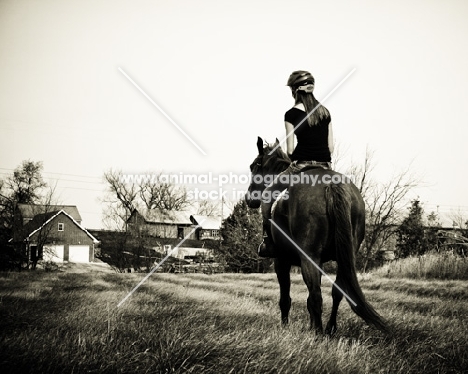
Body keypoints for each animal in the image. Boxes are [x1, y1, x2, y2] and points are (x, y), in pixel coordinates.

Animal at [245, 137, 388, 334]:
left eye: (253, 166)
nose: (249, 198)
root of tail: (332, 185)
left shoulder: (281, 260)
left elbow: (285, 298)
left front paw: (285, 327)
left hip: (308, 257)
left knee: (316, 296)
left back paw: (318, 333)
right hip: (343, 257)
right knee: (336, 292)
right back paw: (329, 328)